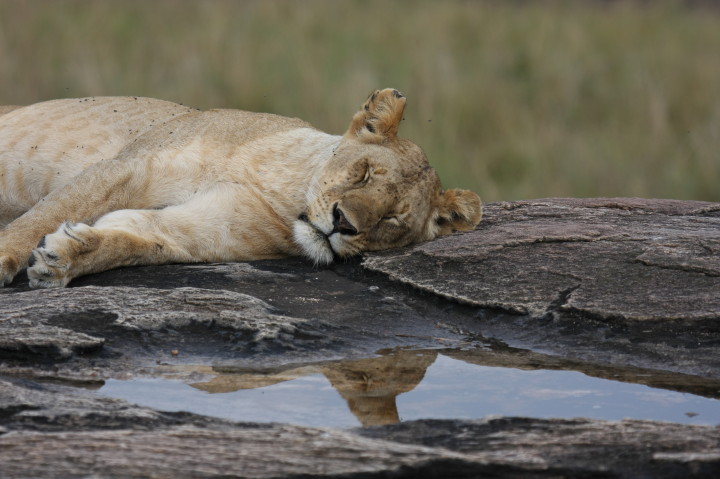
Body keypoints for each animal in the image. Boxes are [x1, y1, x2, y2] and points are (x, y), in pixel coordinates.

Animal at [0, 88, 481, 288]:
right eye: (363, 172)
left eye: (392, 219)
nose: (342, 223)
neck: (283, 191)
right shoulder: (127, 168)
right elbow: (46, 213)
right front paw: (9, 257)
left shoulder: (202, 231)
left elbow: (131, 239)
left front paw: (63, 259)